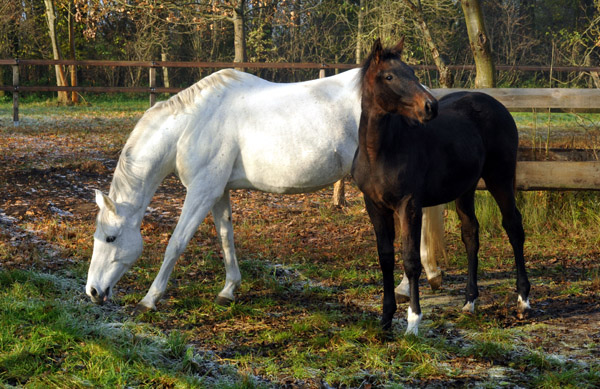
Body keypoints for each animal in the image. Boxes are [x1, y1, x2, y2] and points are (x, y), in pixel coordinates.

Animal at [84, 68, 442, 310]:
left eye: (111, 238)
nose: (92, 291)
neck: (192, 125)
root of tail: (423, 98)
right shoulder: (218, 191)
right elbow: (225, 237)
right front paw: (229, 289)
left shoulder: (201, 191)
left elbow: (176, 243)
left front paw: (150, 298)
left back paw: (406, 286)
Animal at [352, 39, 528, 334]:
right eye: (389, 76)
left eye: (412, 72)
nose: (430, 107)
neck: (379, 152)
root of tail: (497, 105)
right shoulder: (375, 206)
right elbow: (386, 257)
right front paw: (385, 319)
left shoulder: (409, 205)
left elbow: (411, 260)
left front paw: (413, 321)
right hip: (466, 188)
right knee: (471, 233)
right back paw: (469, 302)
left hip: (500, 178)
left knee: (514, 227)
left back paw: (523, 300)